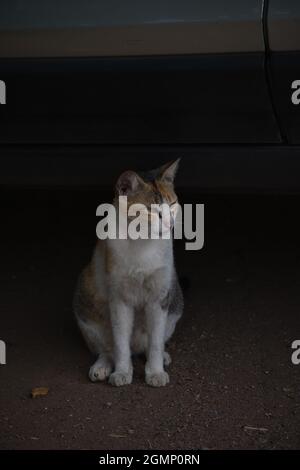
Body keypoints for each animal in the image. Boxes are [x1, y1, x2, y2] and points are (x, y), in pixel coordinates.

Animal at [74, 160, 184, 388]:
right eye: (151, 211)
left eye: (172, 204)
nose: (169, 224)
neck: (143, 244)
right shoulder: (119, 298)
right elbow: (120, 343)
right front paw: (122, 372)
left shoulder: (159, 297)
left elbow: (155, 342)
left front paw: (156, 372)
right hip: (86, 309)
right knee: (108, 349)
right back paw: (102, 367)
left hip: (175, 303)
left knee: (149, 344)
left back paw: (162, 357)